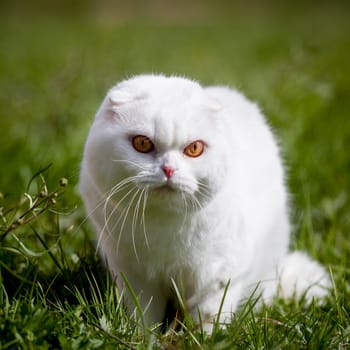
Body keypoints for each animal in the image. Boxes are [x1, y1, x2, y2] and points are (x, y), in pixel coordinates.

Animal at [79, 73, 330, 330]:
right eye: (142, 143)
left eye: (194, 148)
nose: (168, 169)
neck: (163, 224)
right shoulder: (132, 274)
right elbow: (142, 312)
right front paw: (142, 335)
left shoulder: (218, 274)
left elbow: (209, 315)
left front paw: (203, 336)